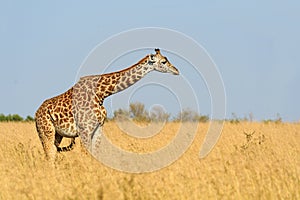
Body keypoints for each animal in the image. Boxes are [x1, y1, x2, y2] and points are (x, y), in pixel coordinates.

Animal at [36, 48, 179, 162]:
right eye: (163, 61)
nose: (176, 70)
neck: (101, 94)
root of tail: (37, 113)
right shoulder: (85, 129)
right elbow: (86, 154)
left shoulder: (99, 127)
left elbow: (95, 154)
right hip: (46, 131)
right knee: (49, 154)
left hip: (57, 134)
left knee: (53, 152)